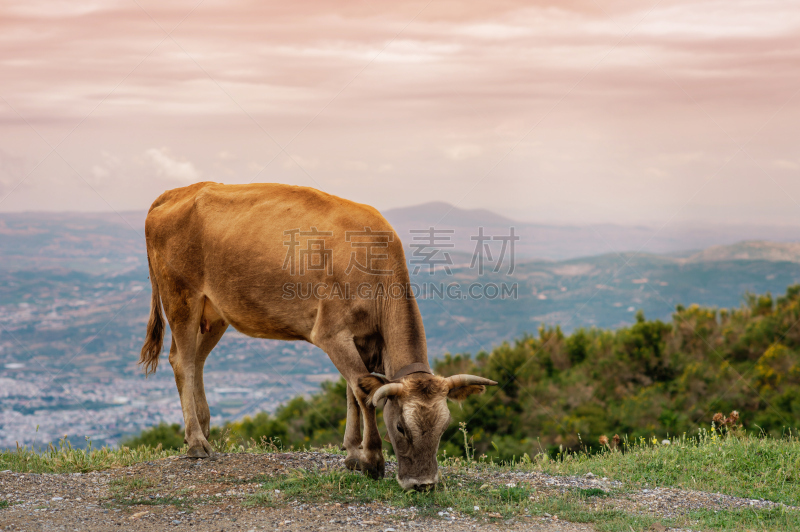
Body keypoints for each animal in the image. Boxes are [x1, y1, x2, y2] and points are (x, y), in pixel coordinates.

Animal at [141, 183, 496, 490]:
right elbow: (364, 391)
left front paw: (352, 453)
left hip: (215, 311)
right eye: (400, 427)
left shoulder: (364, 338)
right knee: (182, 361)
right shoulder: (331, 333)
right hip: (181, 297)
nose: (423, 484)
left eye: (443, 427)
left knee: (197, 360)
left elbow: (355, 391)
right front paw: (372, 460)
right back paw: (196, 442)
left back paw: (203, 429)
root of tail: (175, 192)